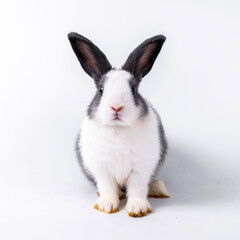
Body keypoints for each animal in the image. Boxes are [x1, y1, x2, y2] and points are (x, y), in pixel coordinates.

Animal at [67, 32, 169, 218]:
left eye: (133, 89)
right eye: (101, 90)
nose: (116, 107)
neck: (118, 129)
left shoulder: (140, 169)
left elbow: (137, 188)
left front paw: (138, 209)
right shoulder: (102, 169)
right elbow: (108, 187)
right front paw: (107, 205)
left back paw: (157, 188)